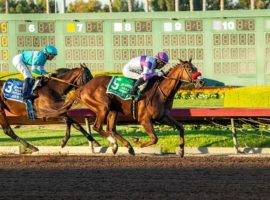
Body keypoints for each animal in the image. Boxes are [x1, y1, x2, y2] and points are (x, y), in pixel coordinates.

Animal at [67, 58, 202, 157]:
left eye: (195, 68)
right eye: (189, 69)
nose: (201, 82)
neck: (161, 92)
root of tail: (83, 87)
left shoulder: (162, 117)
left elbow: (181, 127)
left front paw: (181, 150)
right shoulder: (144, 119)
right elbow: (154, 138)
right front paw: (138, 143)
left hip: (113, 109)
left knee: (111, 128)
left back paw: (125, 147)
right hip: (103, 107)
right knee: (98, 126)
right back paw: (115, 143)